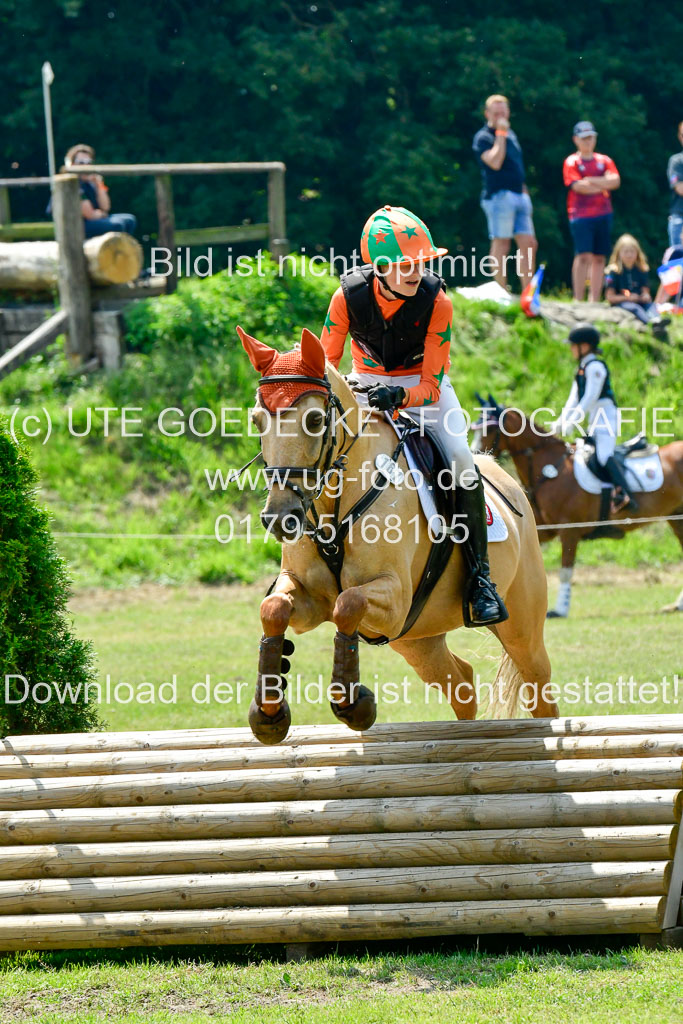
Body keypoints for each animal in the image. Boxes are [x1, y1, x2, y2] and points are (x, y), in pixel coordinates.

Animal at [236, 326, 559, 745]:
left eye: (314, 420)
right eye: (258, 421)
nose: (280, 518)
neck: (335, 501)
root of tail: (504, 477)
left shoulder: (394, 598)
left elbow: (348, 604)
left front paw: (353, 704)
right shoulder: (309, 597)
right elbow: (274, 609)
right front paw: (269, 713)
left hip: (519, 628)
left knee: (540, 689)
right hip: (416, 639)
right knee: (462, 682)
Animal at [470, 395, 683, 618]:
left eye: (489, 429)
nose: (473, 453)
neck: (550, 468)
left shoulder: (569, 531)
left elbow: (565, 571)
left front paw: (560, 609)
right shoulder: (543, 530)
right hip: (676, 518)